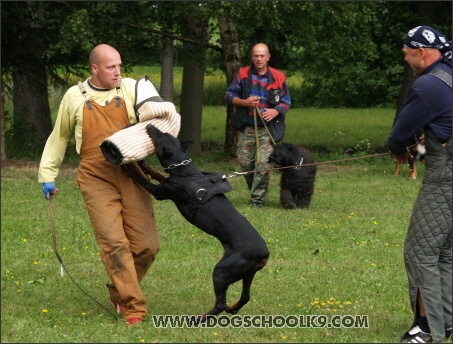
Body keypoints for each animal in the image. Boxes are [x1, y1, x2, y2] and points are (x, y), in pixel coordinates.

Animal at [122, 124, 268, 322]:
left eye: (159, 136)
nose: (149, 125)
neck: (185, 172)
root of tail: (264, 254)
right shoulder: (167, 181)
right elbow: (157, 173)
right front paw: (143, 164)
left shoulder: (160, 192)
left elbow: (142, 179)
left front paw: (130, 166)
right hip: (247, 273)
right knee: (245, 296)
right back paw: (233, 309)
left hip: (222, 271)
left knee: (220, 304)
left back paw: (198, 318)